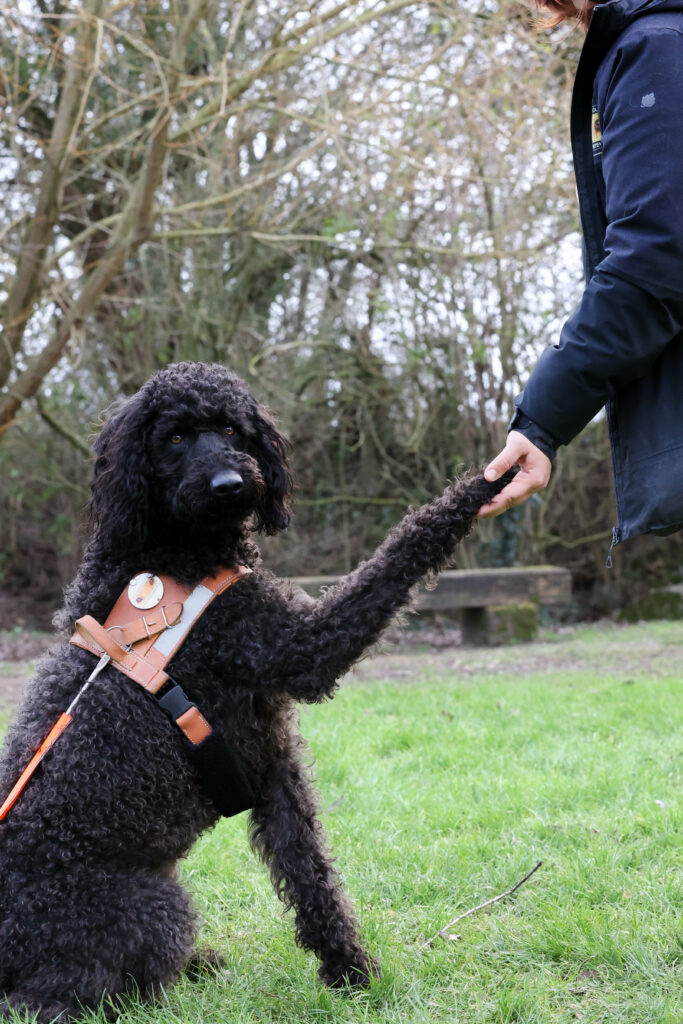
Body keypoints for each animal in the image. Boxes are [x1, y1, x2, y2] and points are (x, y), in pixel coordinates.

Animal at [0, 360, 511, 1015]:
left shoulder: (272, 763)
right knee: (73, 999)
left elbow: (310, 874)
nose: (228, 484)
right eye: (174, 437)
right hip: (154, 909)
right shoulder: (301, 647)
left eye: (230, 428)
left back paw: (199, 967)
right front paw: (486, 483)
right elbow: (399, 552)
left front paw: (348, 972)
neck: (170, 554)